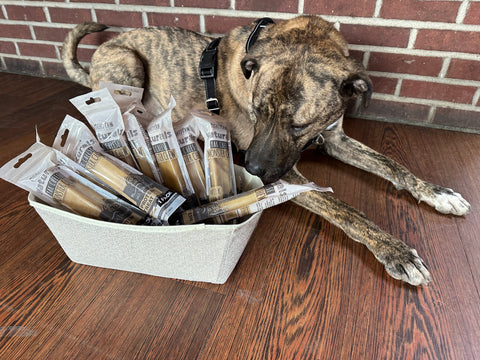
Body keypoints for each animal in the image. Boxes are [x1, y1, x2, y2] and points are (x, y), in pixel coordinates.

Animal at [62, 15, 470, 286]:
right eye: (256, 112)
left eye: (299, 125)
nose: (253, 168)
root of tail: (96, 59)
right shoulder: (289, 174)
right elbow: (344, 208)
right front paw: (394, 249)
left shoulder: (334, 139)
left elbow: (393, 164)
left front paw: (437, 193)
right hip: (128, 64)